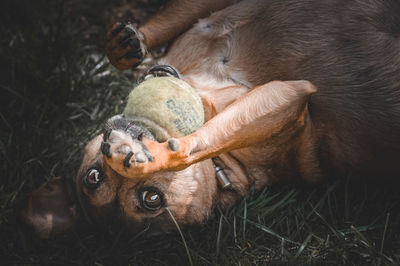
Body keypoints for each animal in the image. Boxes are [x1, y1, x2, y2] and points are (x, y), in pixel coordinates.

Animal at [21, 0, 400, 238]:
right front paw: (158, 157)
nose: (113, 153)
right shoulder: (289, 97)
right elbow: (196, 144)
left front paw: (126, 43)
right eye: (152, 200)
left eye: (93, 176)